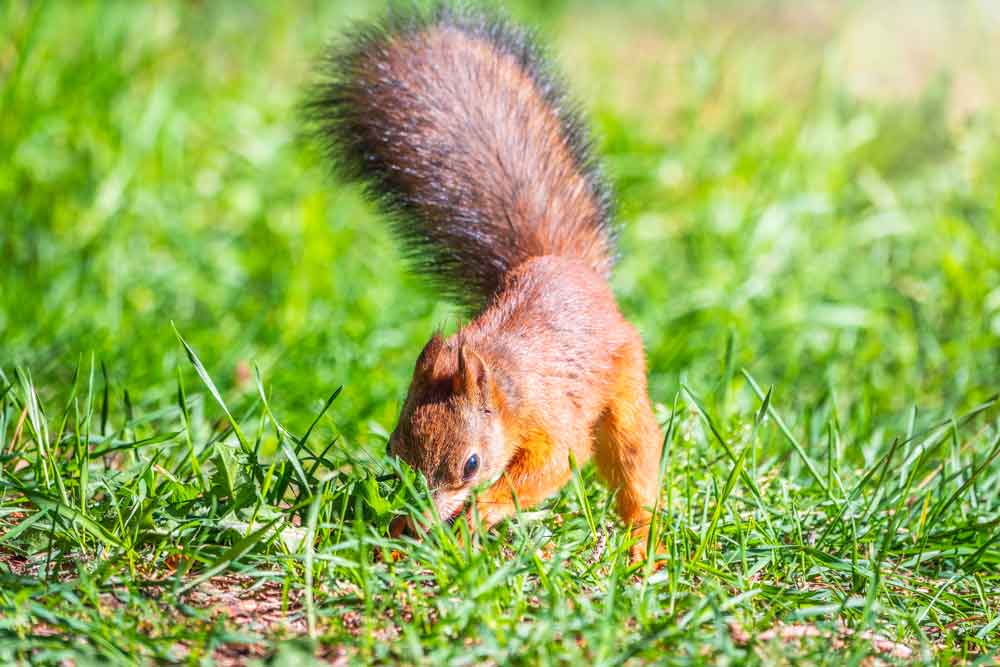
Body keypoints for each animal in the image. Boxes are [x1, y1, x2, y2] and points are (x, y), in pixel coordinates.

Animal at [310, 3, 663, 560]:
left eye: (472, 464)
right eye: (392, 449)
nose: (423, 521)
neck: (502, 383)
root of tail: (565, 265)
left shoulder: (549, 419)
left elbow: (552, 465)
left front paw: (479, 515)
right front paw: (400, 535)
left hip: (624, 385)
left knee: (635, 462)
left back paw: (643, 546)